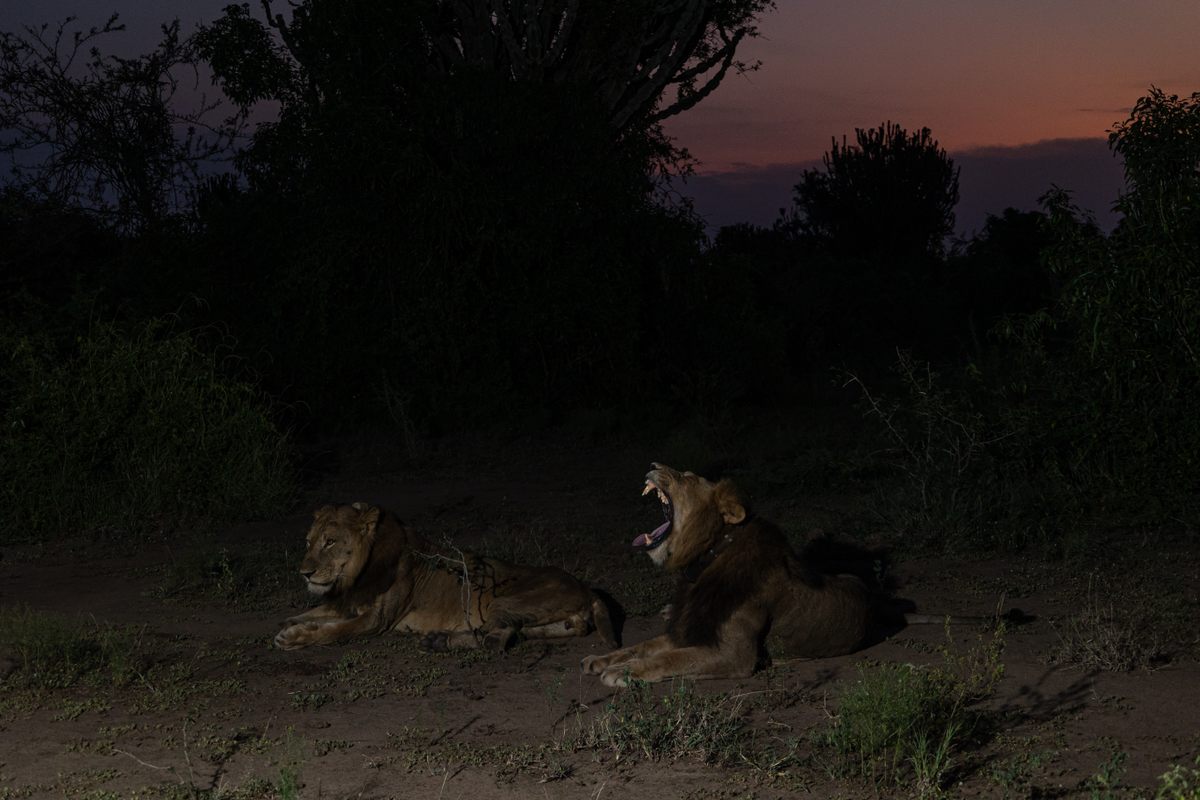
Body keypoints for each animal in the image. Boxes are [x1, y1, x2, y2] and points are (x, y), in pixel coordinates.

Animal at [274, 506, 619, 652]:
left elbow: (335, 630)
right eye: (308, 542)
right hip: (548, 620)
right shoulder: (347, 602)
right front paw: (292, 623)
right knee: (514, 633)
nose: (304, 572)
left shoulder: (376, 619)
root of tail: (585, 587)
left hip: (503, 602)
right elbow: (309, 614)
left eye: (330, 542)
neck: (358, 573)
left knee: (497, 639)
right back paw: (439, 640)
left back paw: (440, 642)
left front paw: (295, 637)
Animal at [580, 462, 873, 690]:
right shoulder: (687, 630)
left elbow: (670, 658)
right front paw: (601, 660)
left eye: (687, 478)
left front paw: (623, 671)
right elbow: (642, 645)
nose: (653, 465)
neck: (704, 562)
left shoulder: (734, 655)